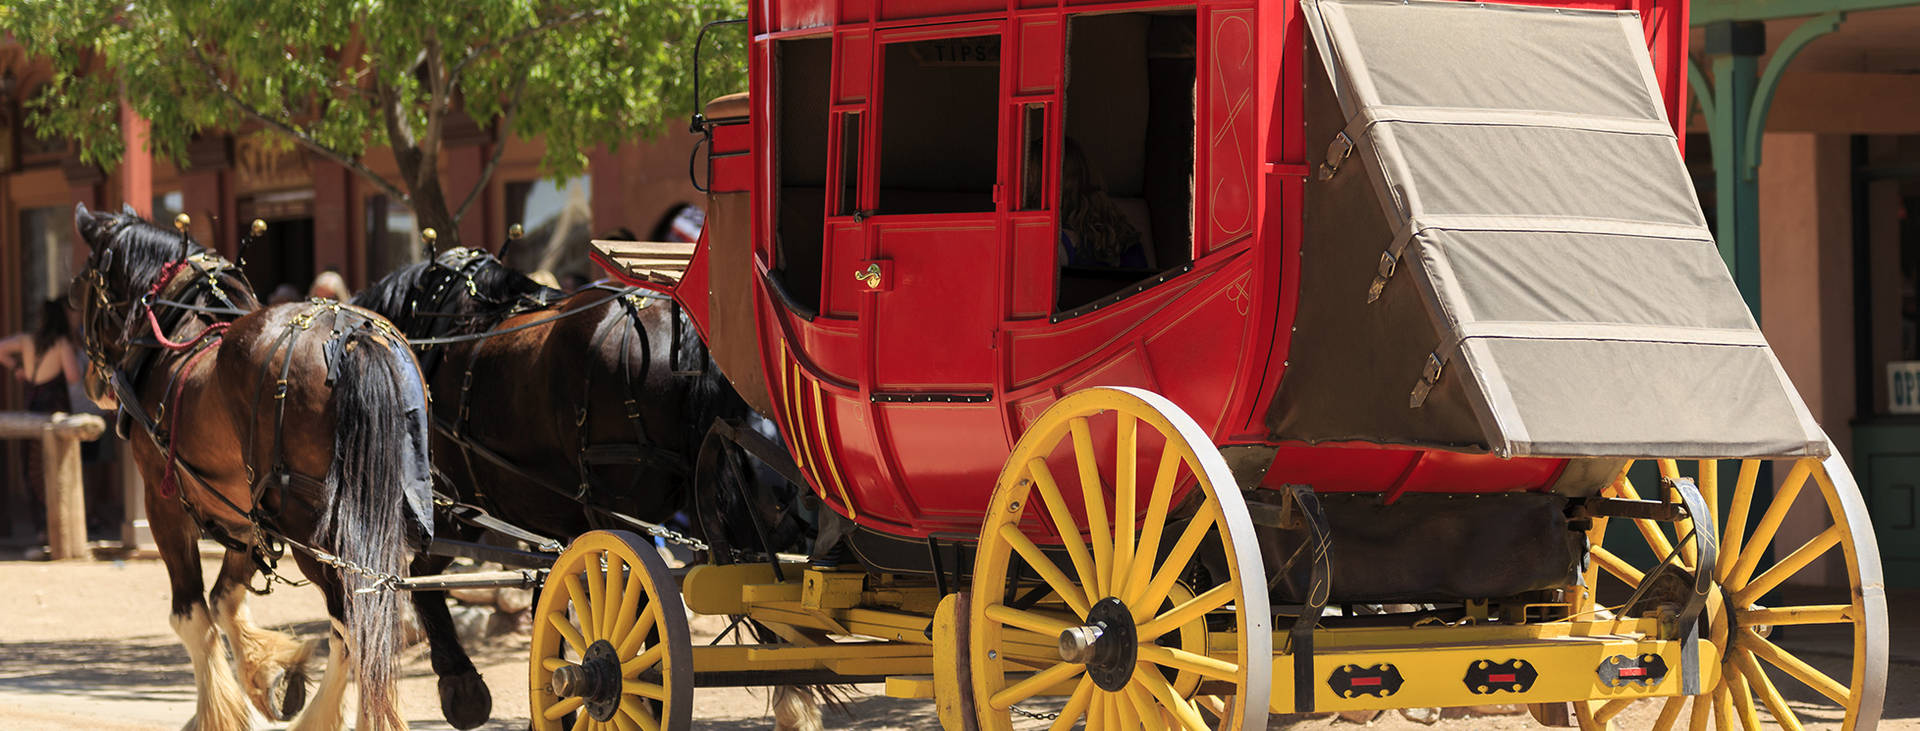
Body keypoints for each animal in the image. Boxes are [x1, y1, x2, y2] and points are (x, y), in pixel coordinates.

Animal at [72, 203, 433, 729]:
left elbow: (191, 614)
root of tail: (352, 334)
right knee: (378, 623)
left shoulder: (164, 502)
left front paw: (218, 711)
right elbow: (226, 599)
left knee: (355, 629)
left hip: (314, 534)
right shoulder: (246, 514)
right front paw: (269, 676)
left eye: (81, 286)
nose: (90, 382)